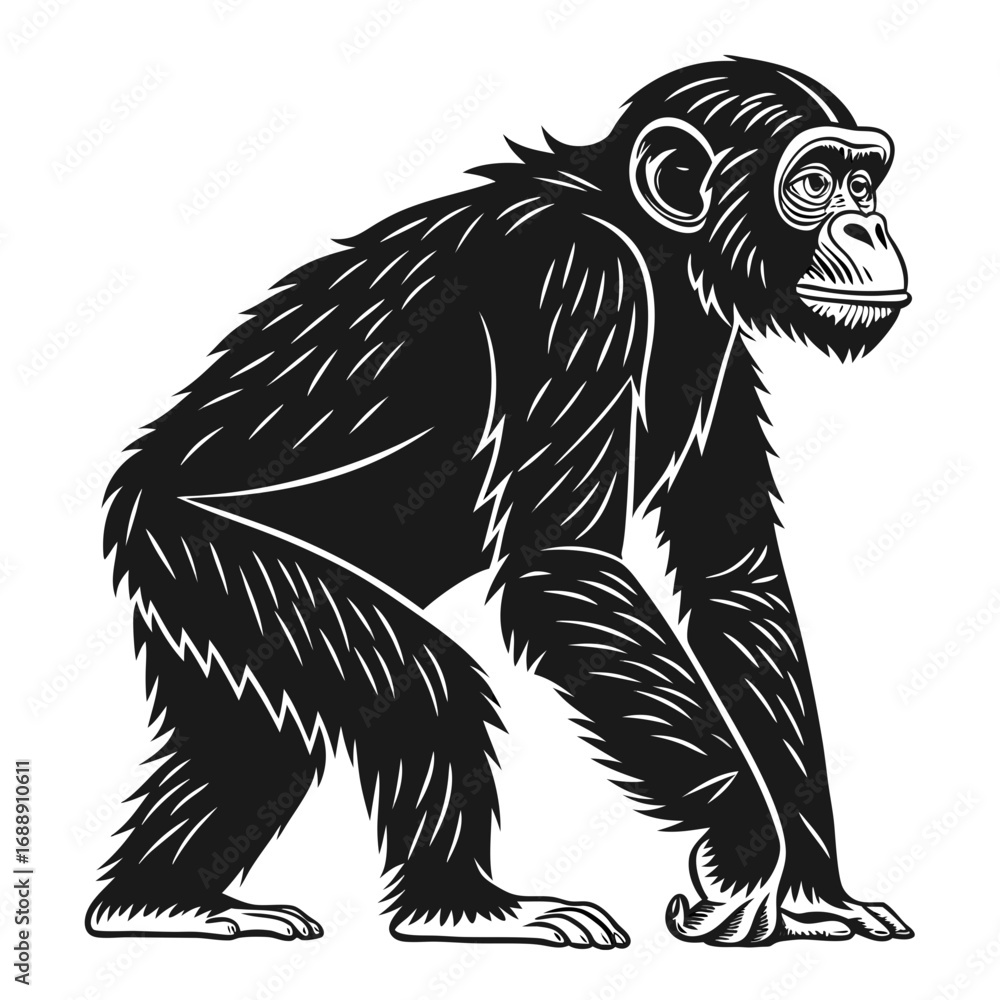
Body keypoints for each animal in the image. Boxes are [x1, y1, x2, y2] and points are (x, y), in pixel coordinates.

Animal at [86, 56, 914, 948]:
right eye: (817, 181)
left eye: (865, 180)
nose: (869, 226)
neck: (658, 249)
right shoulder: (576, 287)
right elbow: (564, 560)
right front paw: (748, 846)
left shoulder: (721, 350)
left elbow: (736, 581)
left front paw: (813, 891)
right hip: (205, 553)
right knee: (421, 685)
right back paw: (465, 908)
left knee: (252, 748)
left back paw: (162, 901)